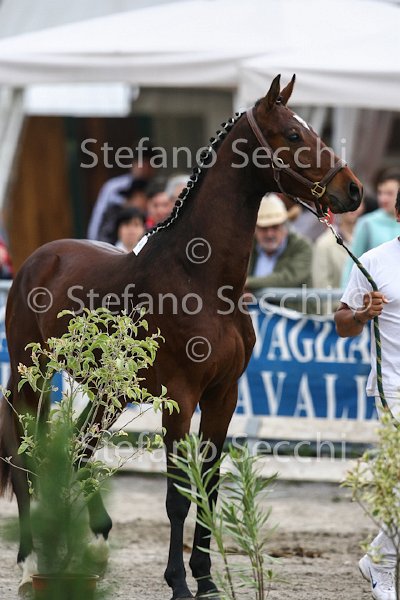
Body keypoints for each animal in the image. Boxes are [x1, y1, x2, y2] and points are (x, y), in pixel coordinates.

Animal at [0, 75, 362, 599]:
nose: (352, 190)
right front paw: (178, 582)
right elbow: (177, 495)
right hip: (32, 379)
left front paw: (207, 579)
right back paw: (31, 561)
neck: (202, 280)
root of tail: (38, 258)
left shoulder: (223, 396)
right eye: (294, 134)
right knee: (25, 454)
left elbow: (207, 486)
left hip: (110, 393)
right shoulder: (180, 398)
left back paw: (90, 547)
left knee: (78, 453)